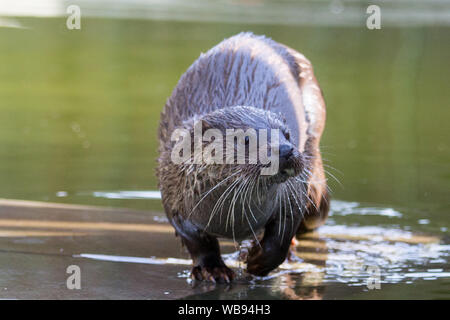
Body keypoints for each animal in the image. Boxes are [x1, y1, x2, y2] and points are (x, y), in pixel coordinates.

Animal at [157, 33, 326, 282]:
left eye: (287, 134)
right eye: (246, 139)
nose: (286, 150)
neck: (233, 221)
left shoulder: (292, 195)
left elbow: (281, 237)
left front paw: (257, 262)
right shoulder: (174, 198)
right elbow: (198, 243)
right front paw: (213, 269)